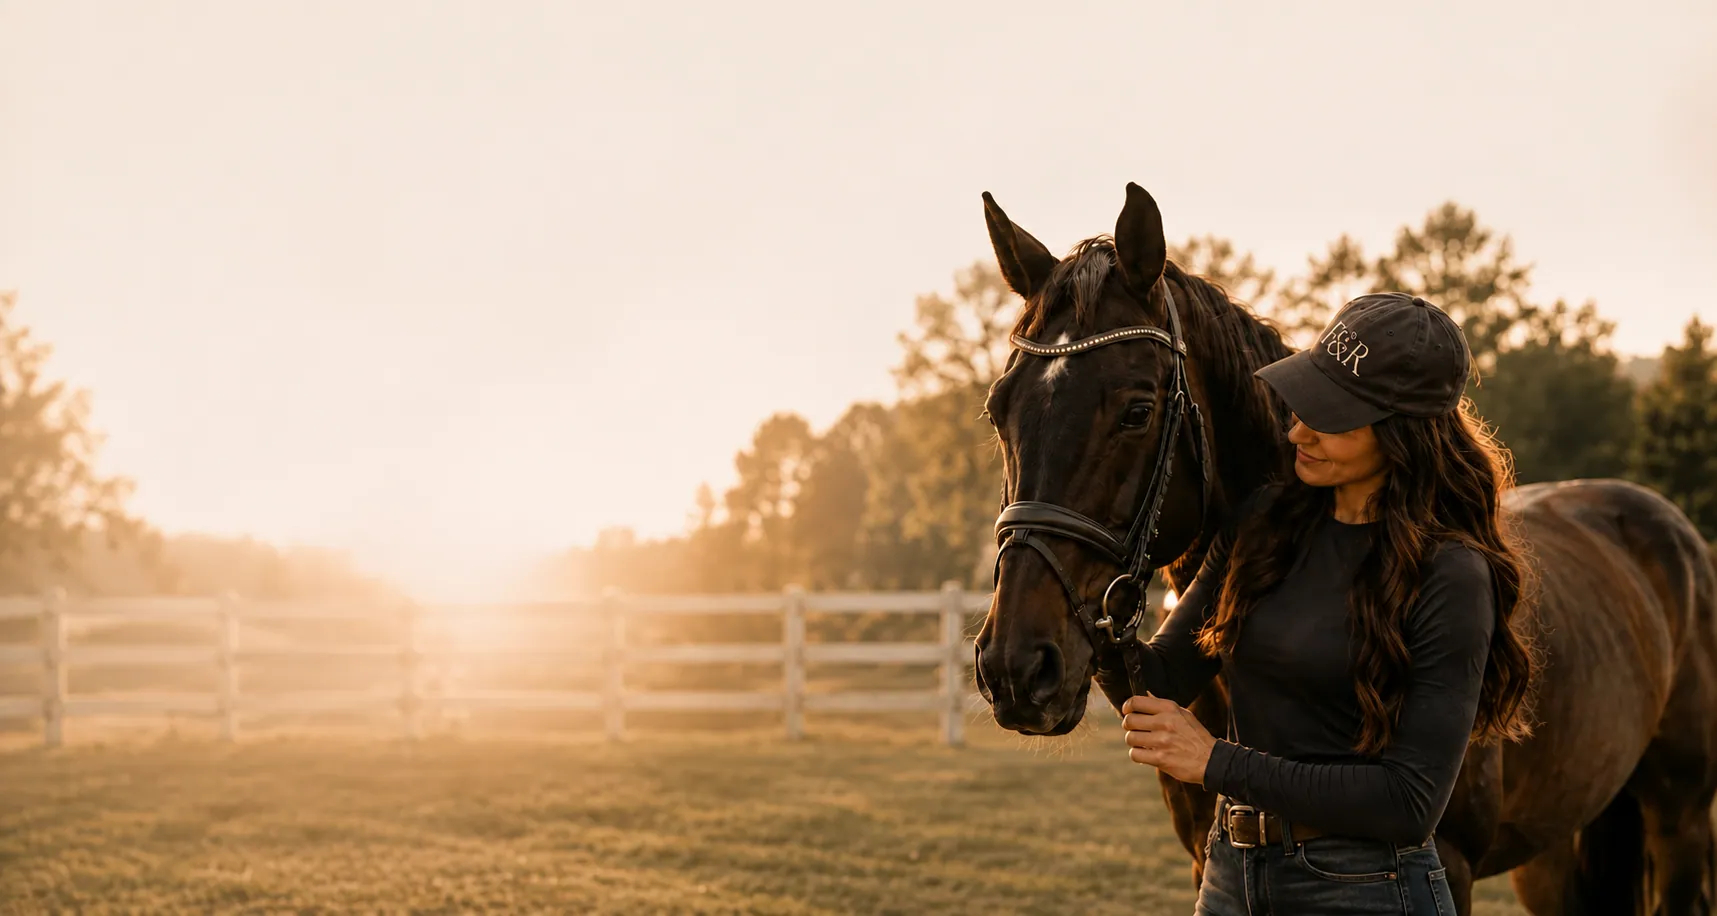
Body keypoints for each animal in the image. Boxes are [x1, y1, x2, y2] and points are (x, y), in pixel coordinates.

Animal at [971, 182, 1717, 915]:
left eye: (1136, 410)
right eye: (998, 409)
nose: (1015, 666)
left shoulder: (1451, 862)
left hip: (1677, 819)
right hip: (1554, 849)